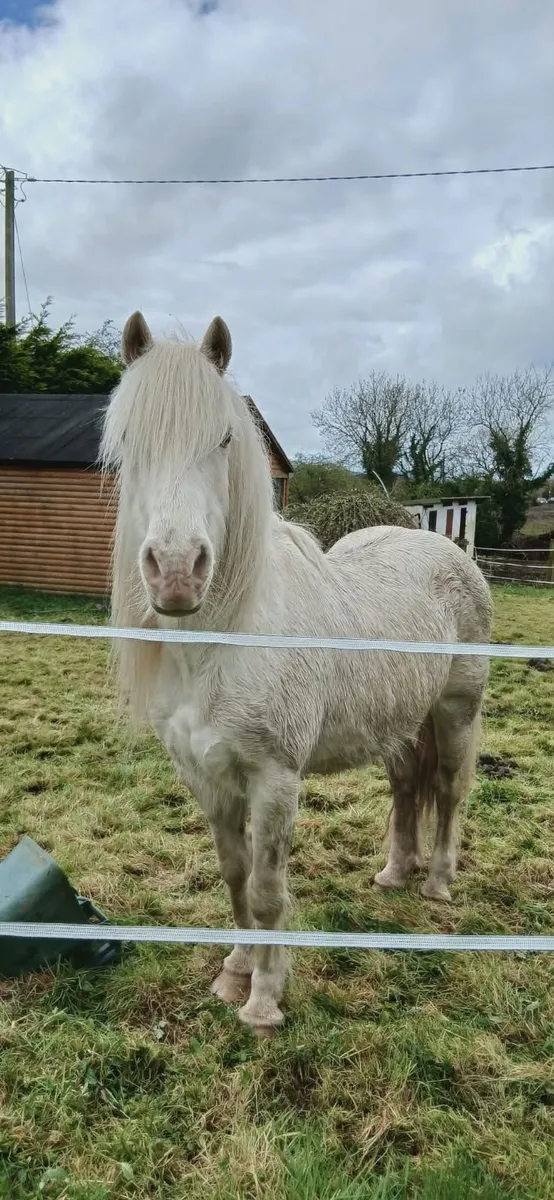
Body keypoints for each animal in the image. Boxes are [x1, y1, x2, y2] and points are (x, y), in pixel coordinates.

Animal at [100, 311, 493, 1035]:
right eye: (127, 438)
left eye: (225, 438)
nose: (177, 572)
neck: (221, 645)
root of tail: (445, 546)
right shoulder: (204, 775)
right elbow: (233, 874)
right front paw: (233, 972)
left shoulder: (275, 780)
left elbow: (266, 886)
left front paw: (264, 999)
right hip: (398, 725)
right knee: (407, 788)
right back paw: (393, 874)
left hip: (456, 712)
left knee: (450, 791)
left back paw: (437, 883)